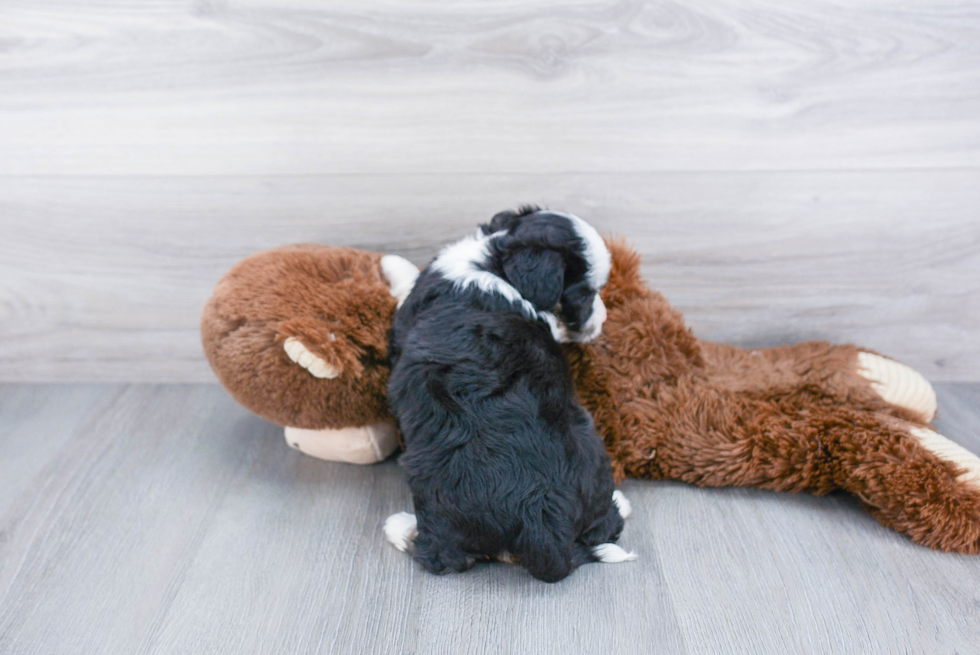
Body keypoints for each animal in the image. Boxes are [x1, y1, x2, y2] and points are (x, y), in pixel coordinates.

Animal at [382, 206, 636, 584]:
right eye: (585, 296)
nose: (604, 318)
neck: (495, 264)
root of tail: (540, 517)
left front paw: (391, 262)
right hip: (591, 449)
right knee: (603, 528)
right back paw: (621, 503)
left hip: (434, 490)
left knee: (442, 556)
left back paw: (399, 528)